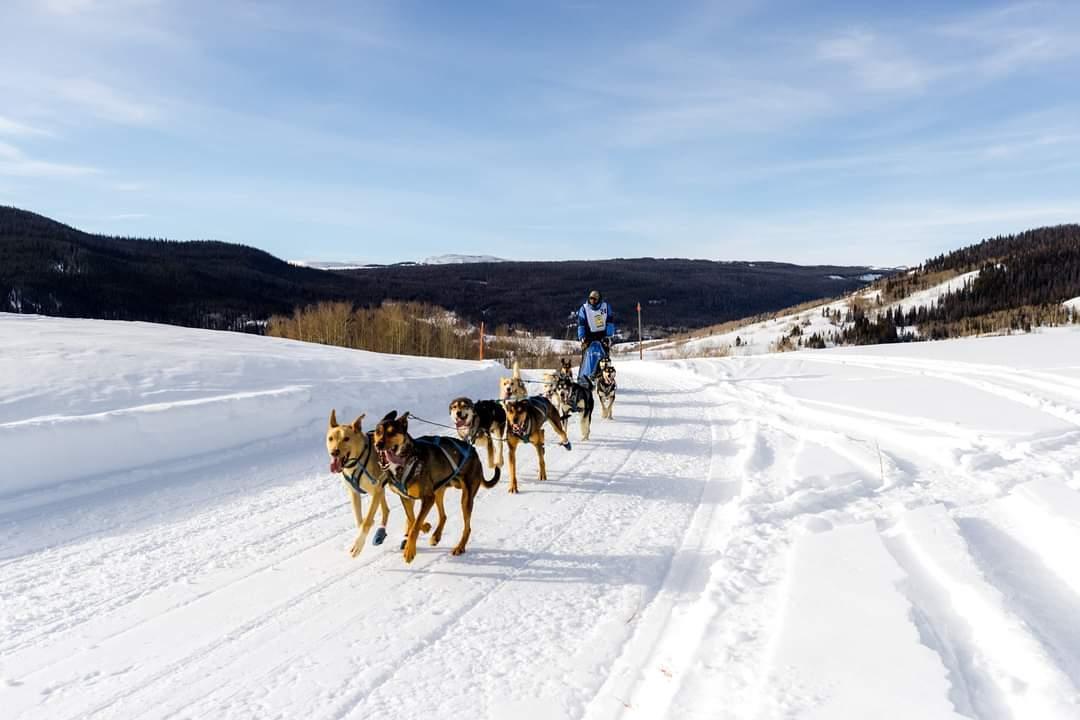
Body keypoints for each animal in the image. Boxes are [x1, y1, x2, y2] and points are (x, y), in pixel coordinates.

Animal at [373, 410, 498, 561]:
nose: (379, 444)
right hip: (438, 492)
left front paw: (410, 550)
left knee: (467, 527)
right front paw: (425, 527)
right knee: (443, 516)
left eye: (392, 432)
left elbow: (415, 524)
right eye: (378, 432)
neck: (405, 461)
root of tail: (473, 451)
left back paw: (460, 547)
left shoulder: (427, 498)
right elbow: (413, 520)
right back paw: (436, 535)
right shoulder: (406, 498)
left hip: (465, 499)